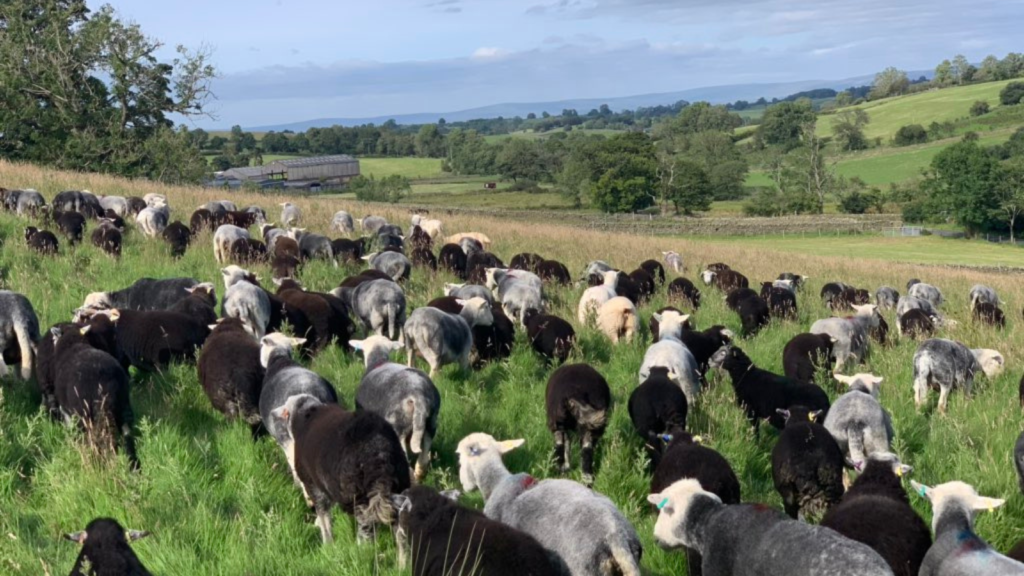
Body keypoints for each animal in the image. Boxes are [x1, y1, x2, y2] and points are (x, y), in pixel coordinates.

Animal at [278, 389, 413, 541]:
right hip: (400, 484)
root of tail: (379, 451)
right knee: (399, 528)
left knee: (366, 529)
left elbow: (324, 517)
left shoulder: (312, 484)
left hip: (359, 498)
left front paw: (328, 543)